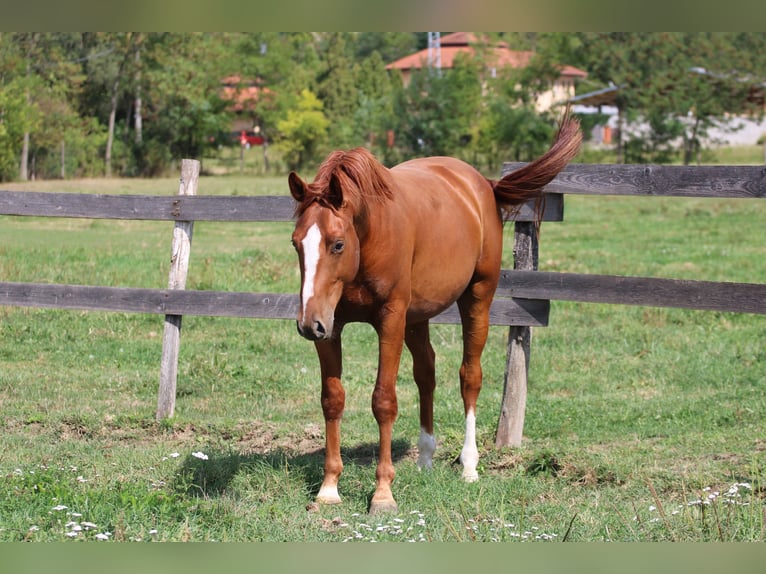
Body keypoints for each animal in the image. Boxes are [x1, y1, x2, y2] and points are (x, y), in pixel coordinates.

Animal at [290, 113, 584, 516]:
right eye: (296, 243)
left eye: (337, 244)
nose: (307, 324)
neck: (372, 235)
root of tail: (483, 185)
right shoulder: (332, 327)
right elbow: (332, 399)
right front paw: (329, 487)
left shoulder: (390, 321)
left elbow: (384, 401)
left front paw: (383, 493)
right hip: (417, 317)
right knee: (426, 374)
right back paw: (426, 458)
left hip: (476, 298)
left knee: (469, 377)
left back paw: (469, 465)